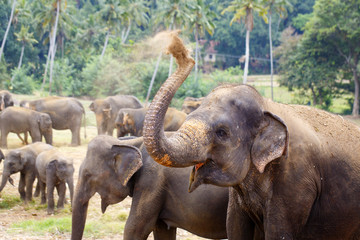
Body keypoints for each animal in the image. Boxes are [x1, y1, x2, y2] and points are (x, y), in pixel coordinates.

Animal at [142, 32, 360, 239]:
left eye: (221, 133)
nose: (182, 51)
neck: (266, 105)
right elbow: (235, 226)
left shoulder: (296, 180)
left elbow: (278, 232)